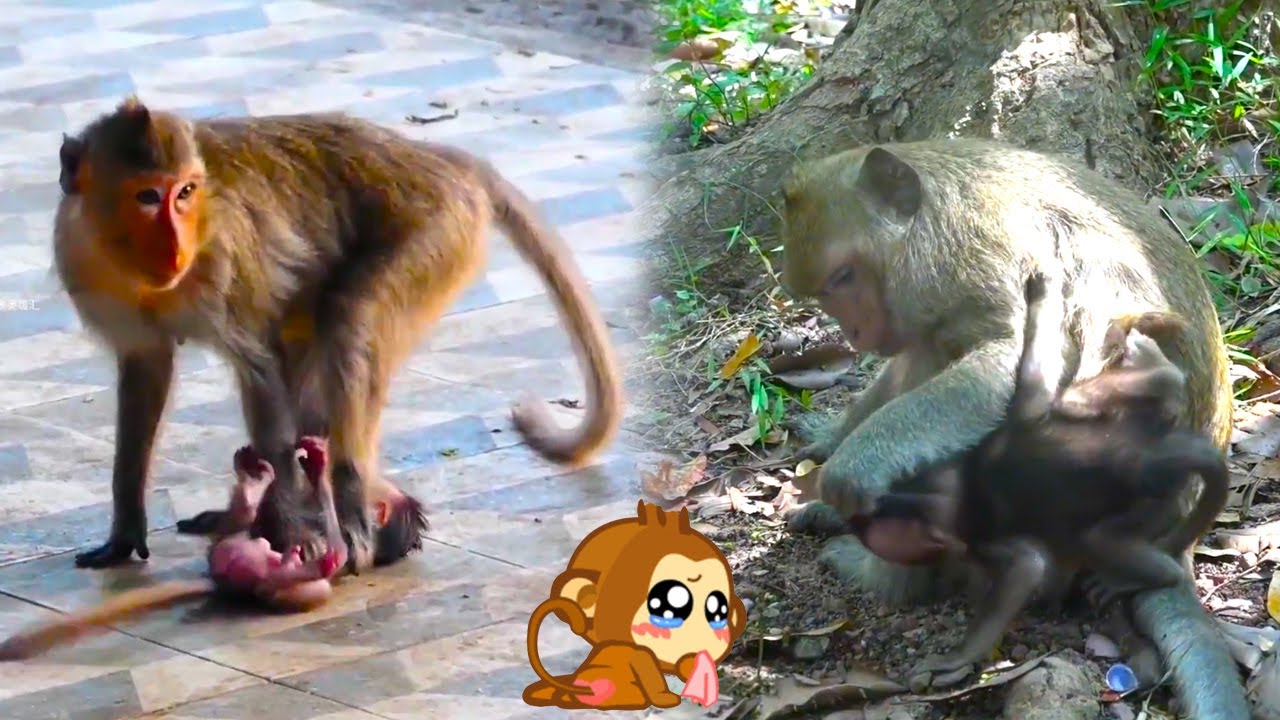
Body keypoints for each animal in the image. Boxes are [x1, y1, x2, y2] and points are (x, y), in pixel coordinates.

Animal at [0, 437, 349, 661]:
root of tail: (219, 583)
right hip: (261, 572)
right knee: (292, 576)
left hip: (232, 540)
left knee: (245, 523)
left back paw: (257, 487)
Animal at [54, 97, 622, 574]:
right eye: (148, 196)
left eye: (186, 192)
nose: (175, 245)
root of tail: (429, 155)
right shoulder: (84, 266)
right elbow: (146, 368)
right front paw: (126, 528)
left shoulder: (225, 264)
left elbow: (259, 373)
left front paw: (290, 527)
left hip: (437, 233)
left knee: (350, 319)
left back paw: (351, 504)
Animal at [777, 139, 1245, 719]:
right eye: (824, 292)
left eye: (844, 278)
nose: (854, 333)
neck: (931, 221)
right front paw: (830, 439)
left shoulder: (978, 259)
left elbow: (998, 360)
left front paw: (851, 468)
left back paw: (876, 569)